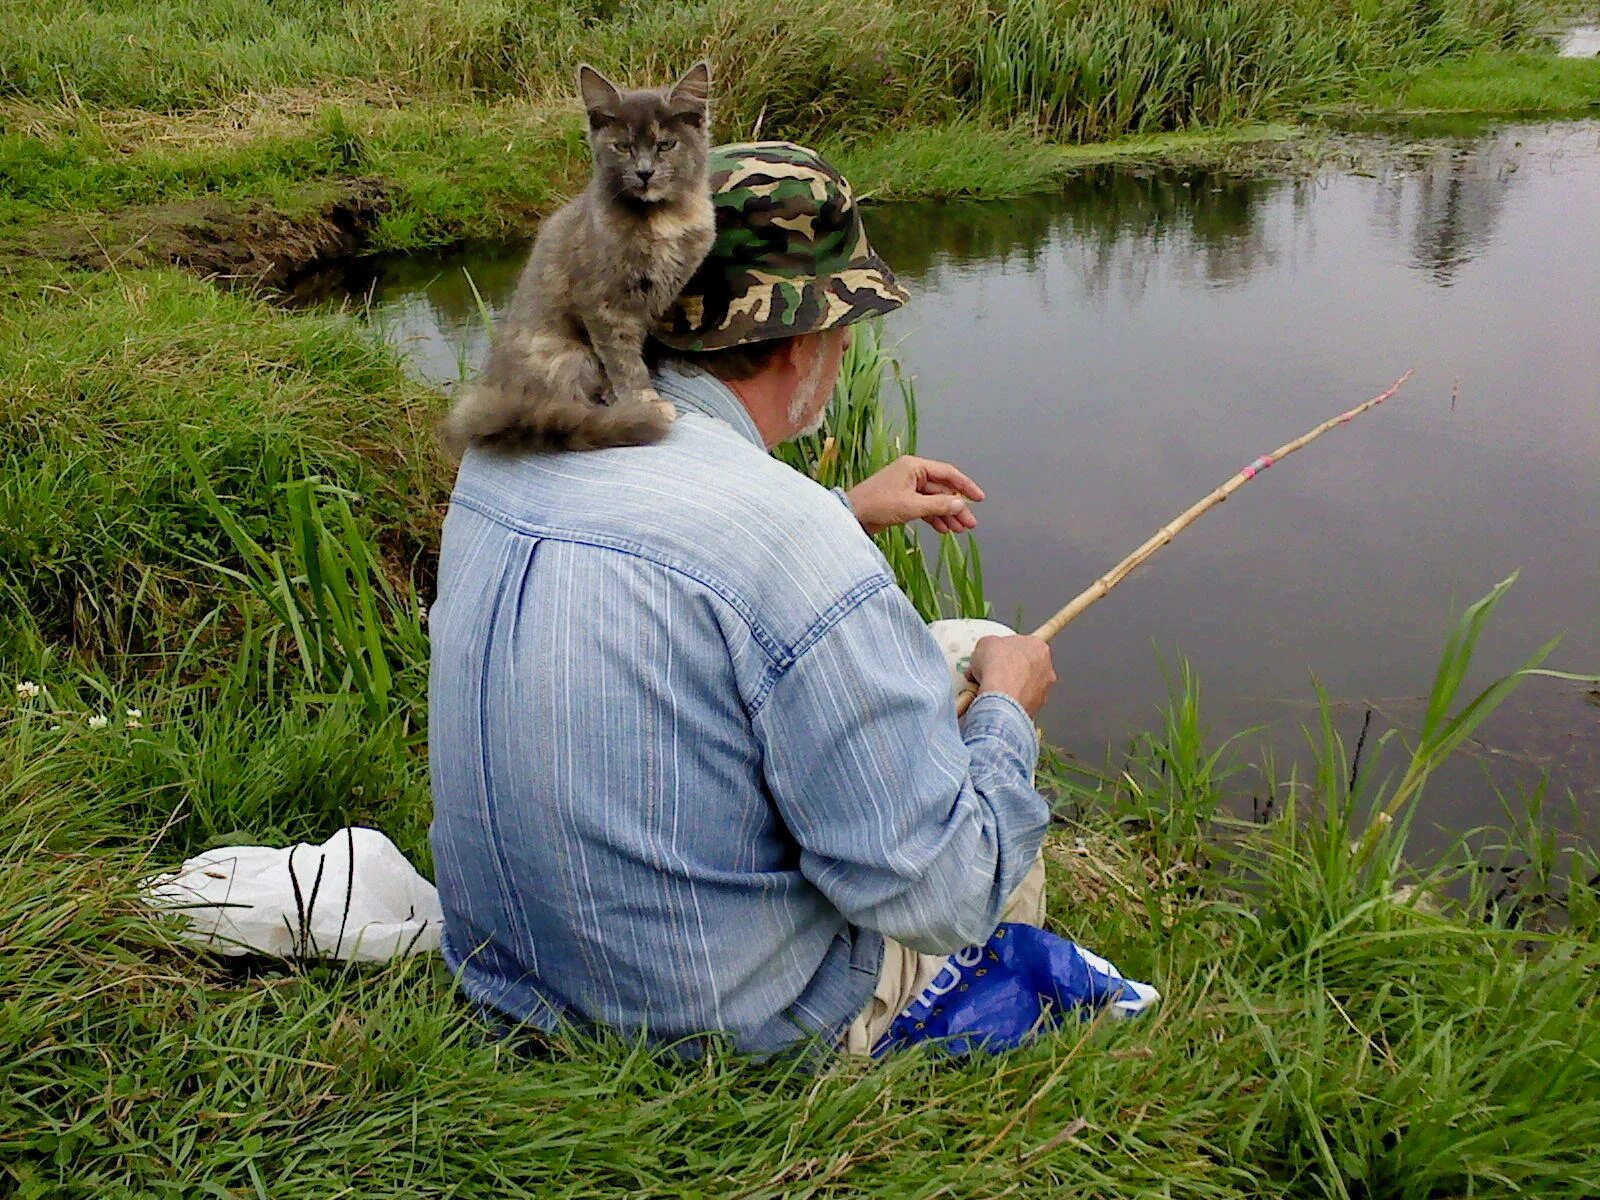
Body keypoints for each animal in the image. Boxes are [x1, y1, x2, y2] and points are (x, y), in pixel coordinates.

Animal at [441, 66, 710, 460]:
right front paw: (644, 401)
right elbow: (623, 359)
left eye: (665, 145)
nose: (645, 173)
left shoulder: (659, 296)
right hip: (567, 355)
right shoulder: (602, 303)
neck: (661, 221)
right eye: (623, 146)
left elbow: (640, 349)